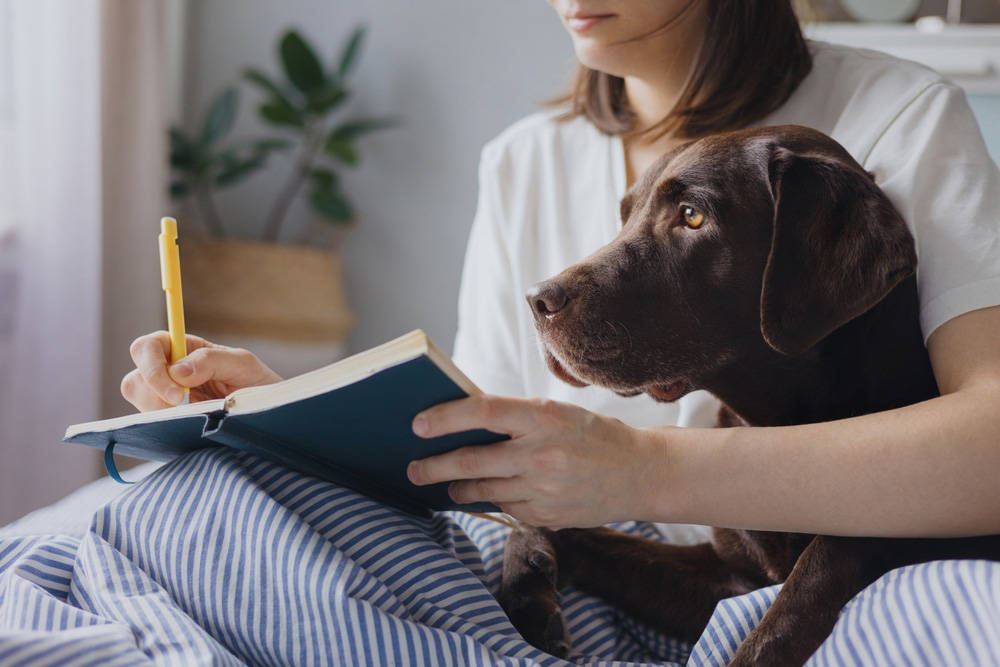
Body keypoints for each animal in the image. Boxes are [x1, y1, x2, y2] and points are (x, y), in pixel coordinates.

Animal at [498, 126, 1000, 667]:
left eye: (692, 216)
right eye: (626, 215)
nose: (536, 299)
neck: (777, 425)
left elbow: (807, 585)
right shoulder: (729, 578)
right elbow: (566, 529)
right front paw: (525, 587)